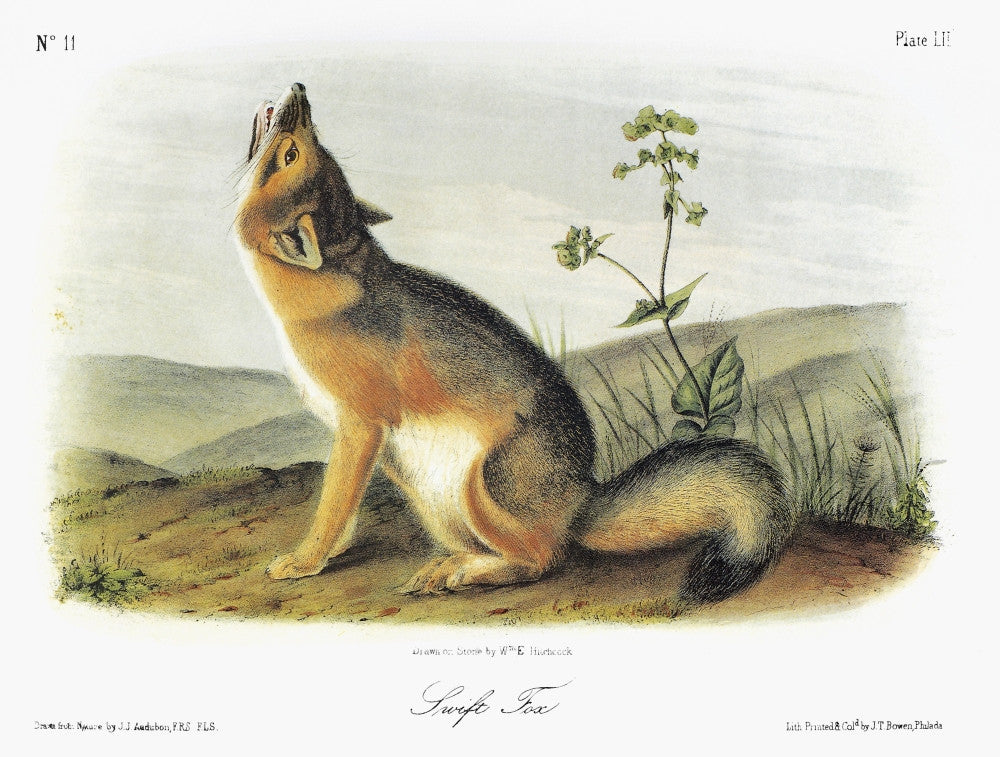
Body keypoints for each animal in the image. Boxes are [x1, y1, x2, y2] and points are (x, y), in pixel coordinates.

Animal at [234, 83, 793, 604]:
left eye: (295, 152)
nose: (301, 90)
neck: (335, 285)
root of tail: (580, 500)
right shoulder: (363, 439)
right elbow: (344, 512)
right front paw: (327, 555)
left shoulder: (360, 426)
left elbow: (332, 505)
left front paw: (304, 561)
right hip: (426, 489)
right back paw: (448, 565)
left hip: (479, 488)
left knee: (543, 558)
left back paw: (469, 573)